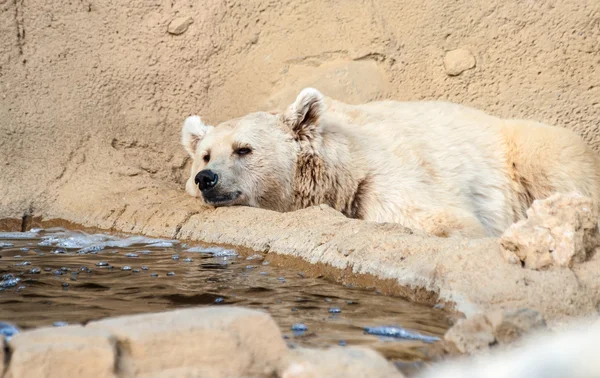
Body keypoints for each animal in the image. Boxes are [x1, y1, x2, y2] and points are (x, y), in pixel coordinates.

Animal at [182, 87, 600, 238]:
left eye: (244, 149)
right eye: (205, 155)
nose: (207, 178)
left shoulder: (383, 179)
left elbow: (444, 220)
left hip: (528, 149)